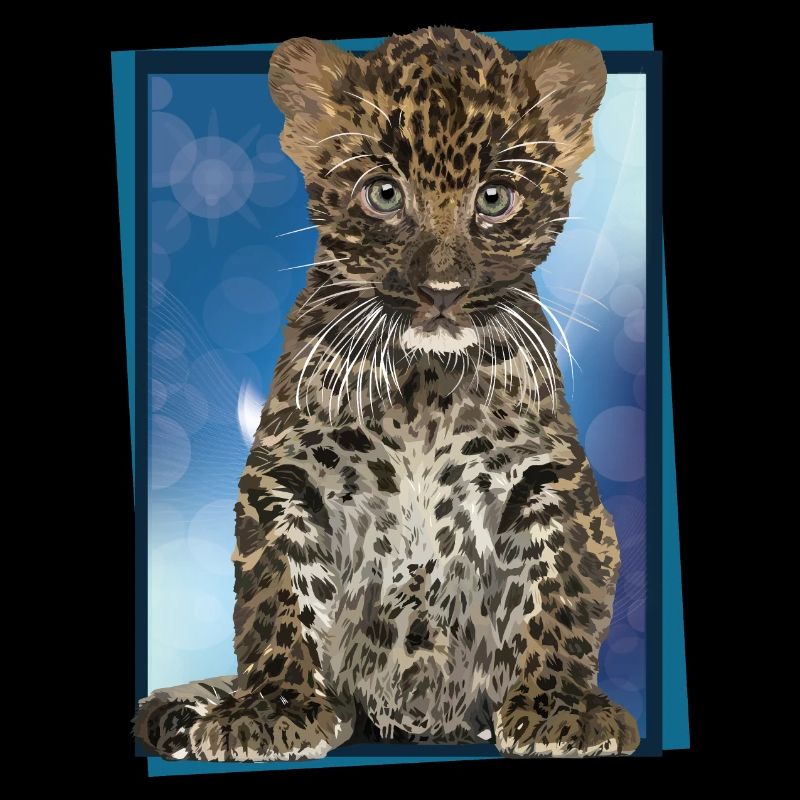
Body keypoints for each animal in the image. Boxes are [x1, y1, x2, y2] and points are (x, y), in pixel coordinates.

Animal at [134, 26, 640, 761]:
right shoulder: (286, 477)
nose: (441, 290)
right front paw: (271, 709)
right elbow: (278, 593)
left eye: (495, 198)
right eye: (382, 193)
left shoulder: (549, 477)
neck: (424, 385)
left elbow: (560, 589)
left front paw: (561, 710)